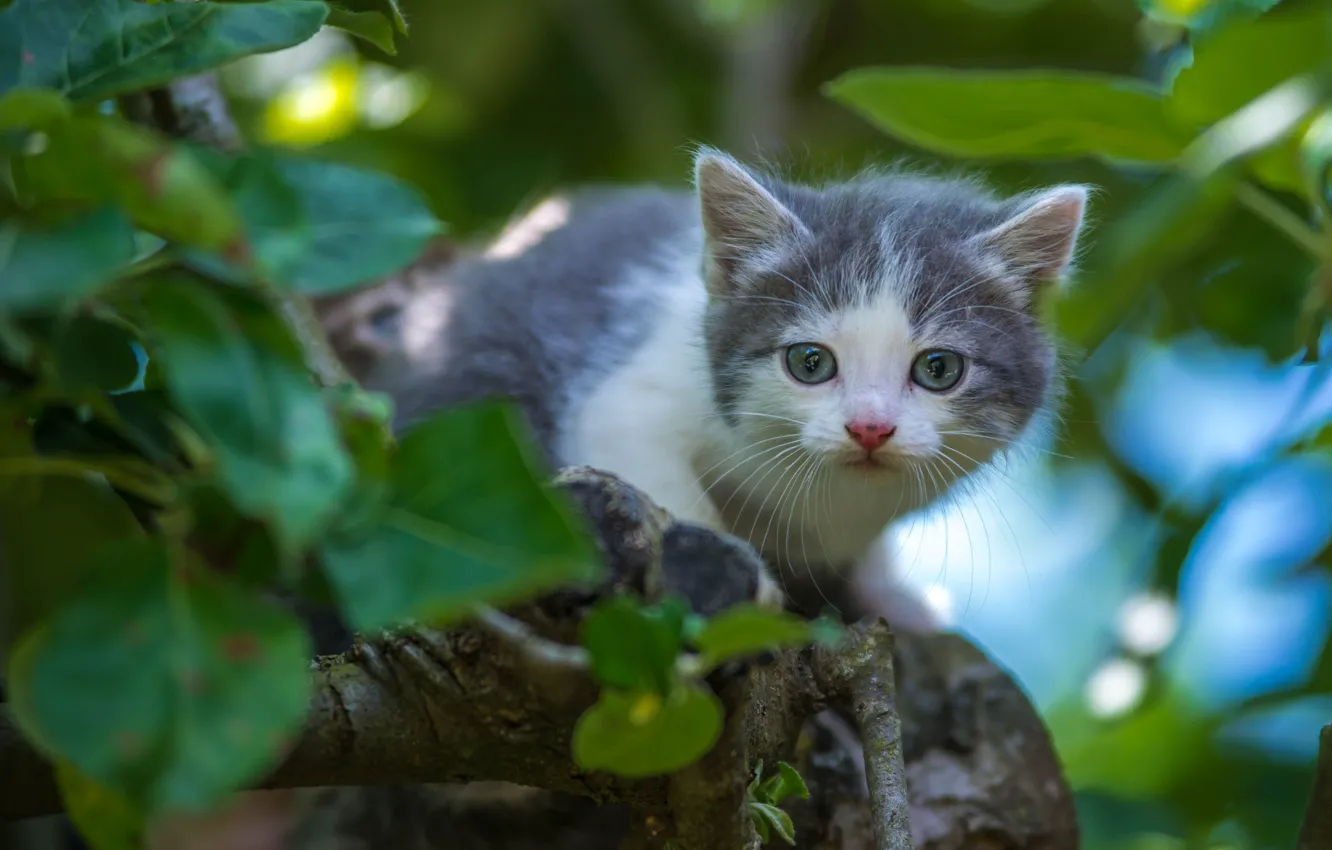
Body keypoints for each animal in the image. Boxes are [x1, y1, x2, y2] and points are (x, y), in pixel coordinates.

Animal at [362, 147, 1081, 626]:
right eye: (810, 363)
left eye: (938, 369)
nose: (870, 427)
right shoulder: (626, 400)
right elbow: (657, 476)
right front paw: (739, 576)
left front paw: (891, 598)